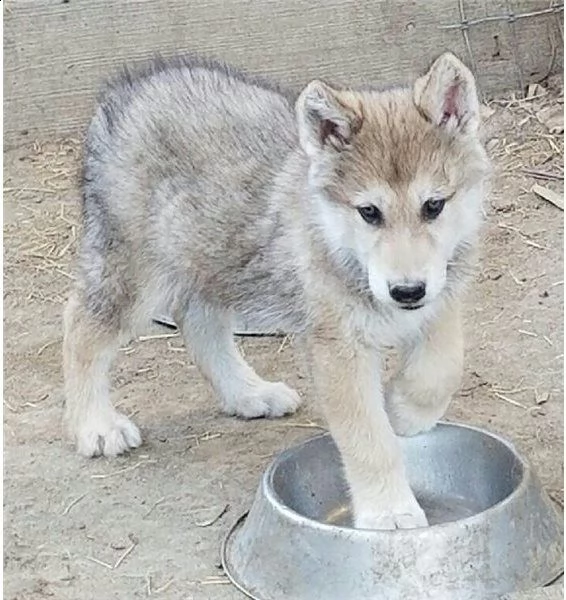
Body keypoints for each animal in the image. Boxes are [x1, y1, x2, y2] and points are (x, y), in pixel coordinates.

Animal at [64, 52, 492, 528]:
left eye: (434, 205)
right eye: (369, 212)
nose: (406, 291)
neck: (342, 246)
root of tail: (126, 91)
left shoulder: (442, 296)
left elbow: (443, 366)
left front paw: (404, 410)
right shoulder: (336, 348)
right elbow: (368, 439)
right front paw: (389, 511)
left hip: (214, 260)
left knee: (199, 327)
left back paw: (249, 394)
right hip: (136, 276)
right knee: (80, 326)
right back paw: (95, 425)